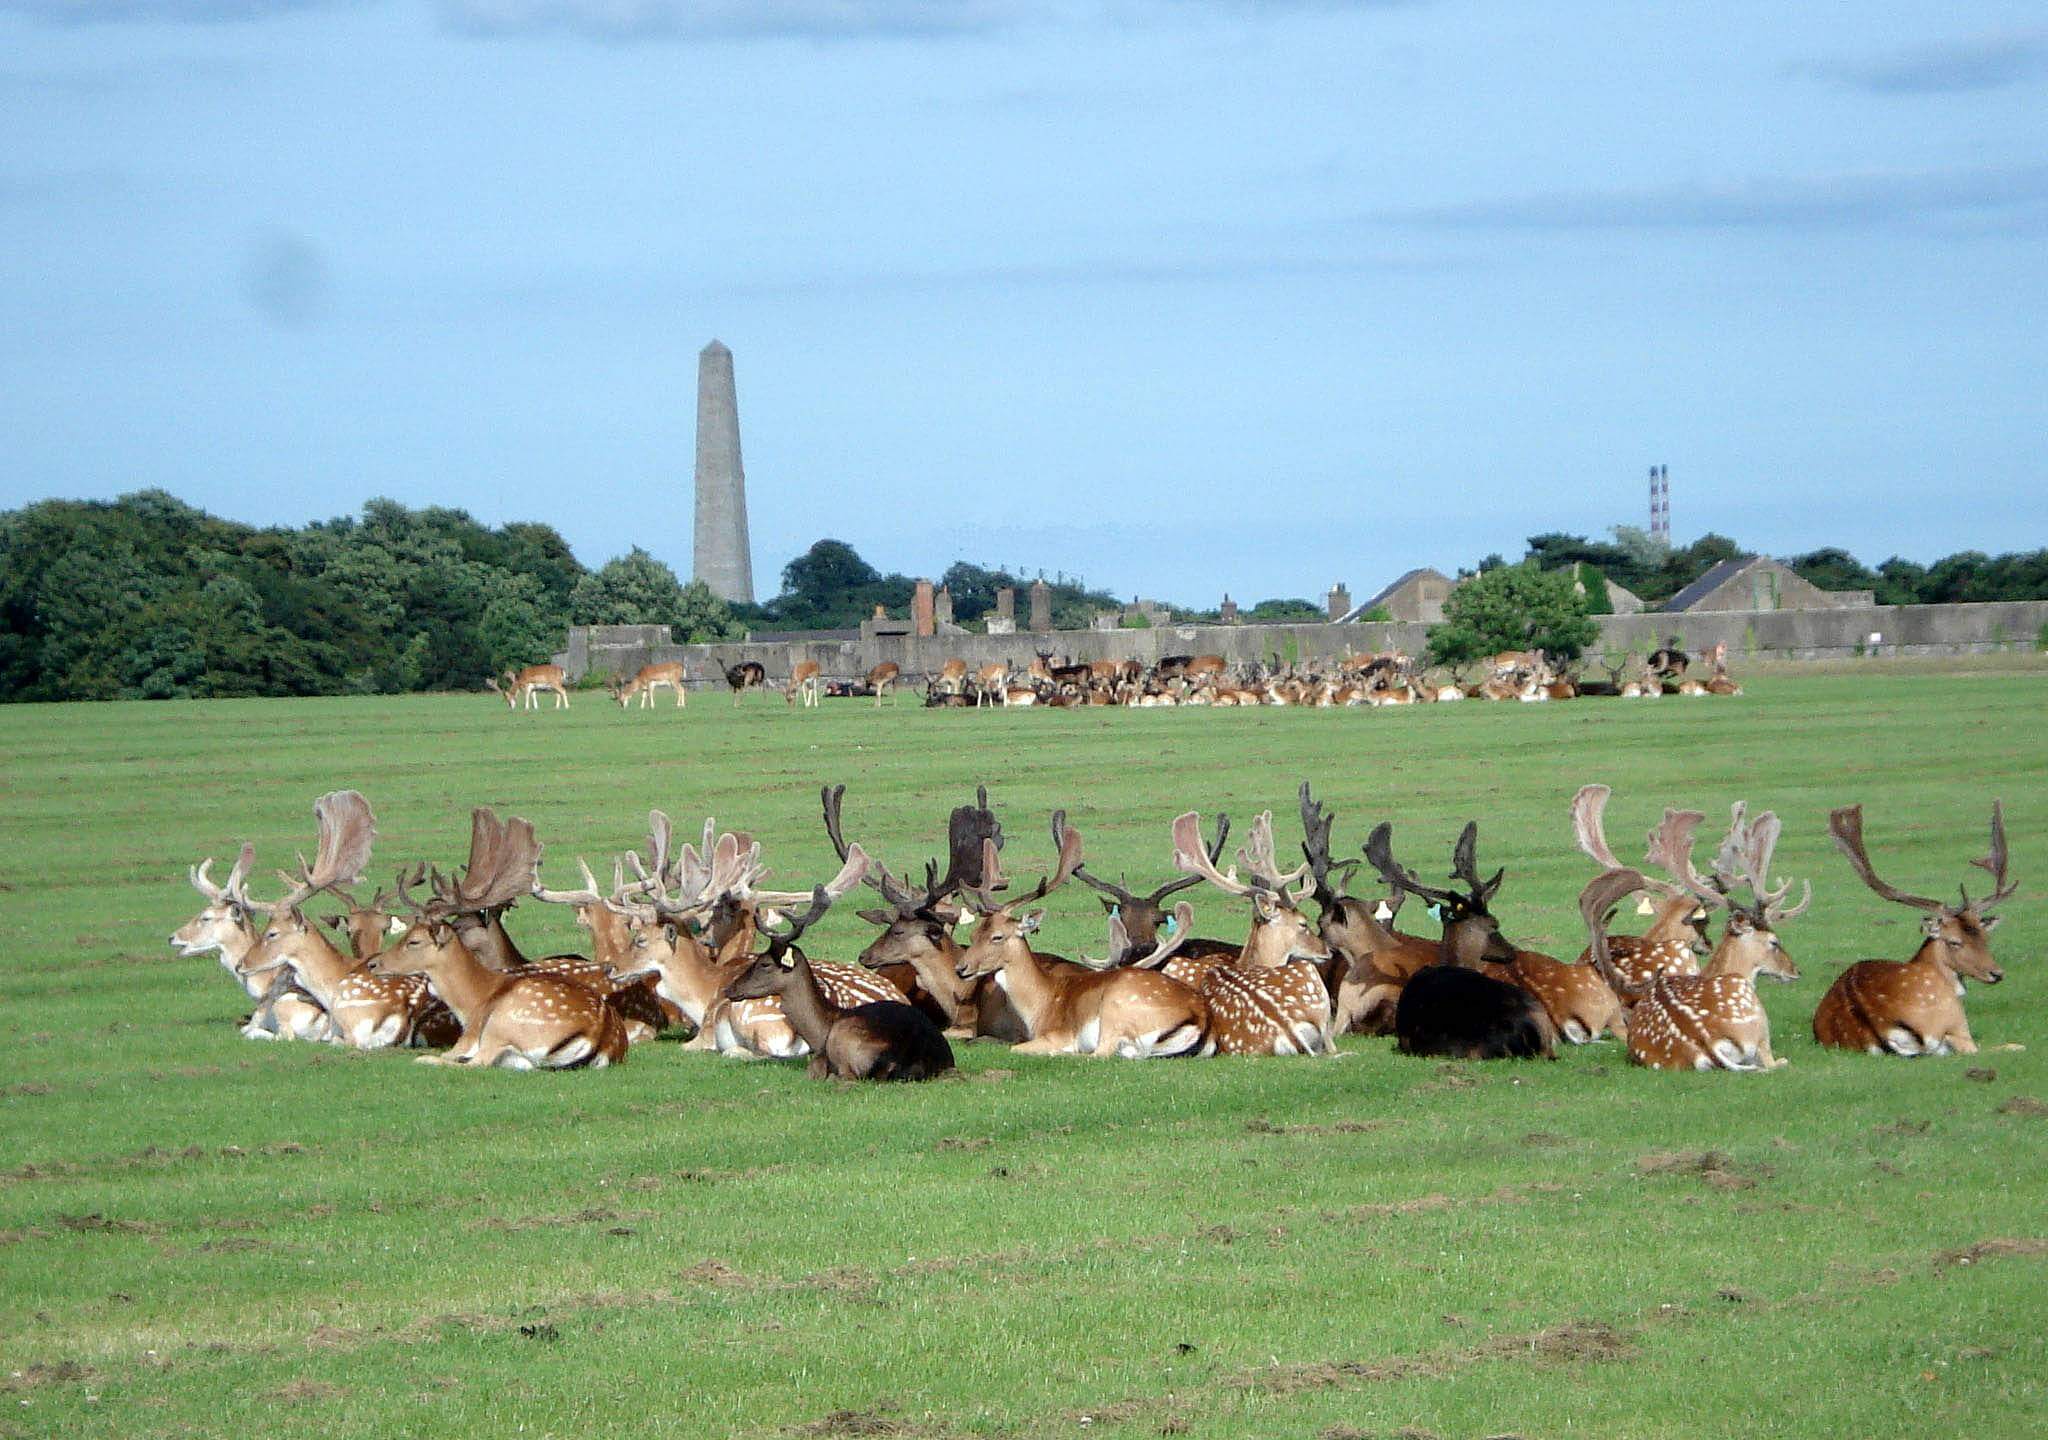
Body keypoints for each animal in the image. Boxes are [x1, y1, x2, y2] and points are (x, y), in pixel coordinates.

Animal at [724, 881, 956, 1080]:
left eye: (764, 963)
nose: (729, 989)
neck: (818, 1031)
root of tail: (911, 1058)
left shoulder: (818, 1061)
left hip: (845, 1044)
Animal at [955, 818, 1212, 1057]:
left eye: (997, 937)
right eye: (974, 934)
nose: (961, 968)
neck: (1042, 1004)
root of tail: (1201, 1019)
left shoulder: (1058, 1033)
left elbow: (1016, 1047)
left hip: (1114, 1010)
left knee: (1100, 1053)